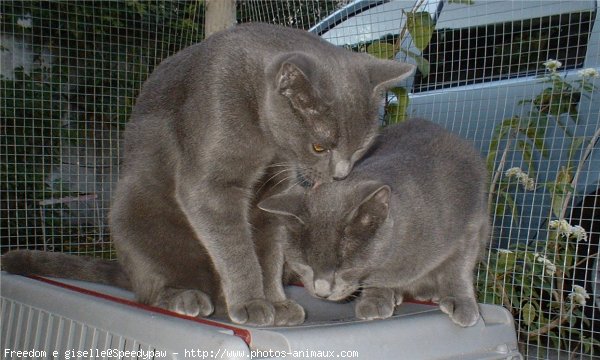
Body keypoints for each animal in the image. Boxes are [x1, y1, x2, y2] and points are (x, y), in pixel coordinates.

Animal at [0, 22, 414, 326]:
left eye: (361, 148)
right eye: (319, 147)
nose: (341, 175)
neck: (270, 147)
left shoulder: (274, 193)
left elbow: (268, 251)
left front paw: (276, 302)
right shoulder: (212, 183)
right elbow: (237, 248)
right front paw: (252, 302)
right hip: (131, 216)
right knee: (150, 288)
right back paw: (186, 296)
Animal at [258, 119, 488, 326]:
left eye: (345, 269)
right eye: (304, 266)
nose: (322, 293)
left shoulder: (470, 228)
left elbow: (458, 269)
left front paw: (462, 304)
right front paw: (376, 300)